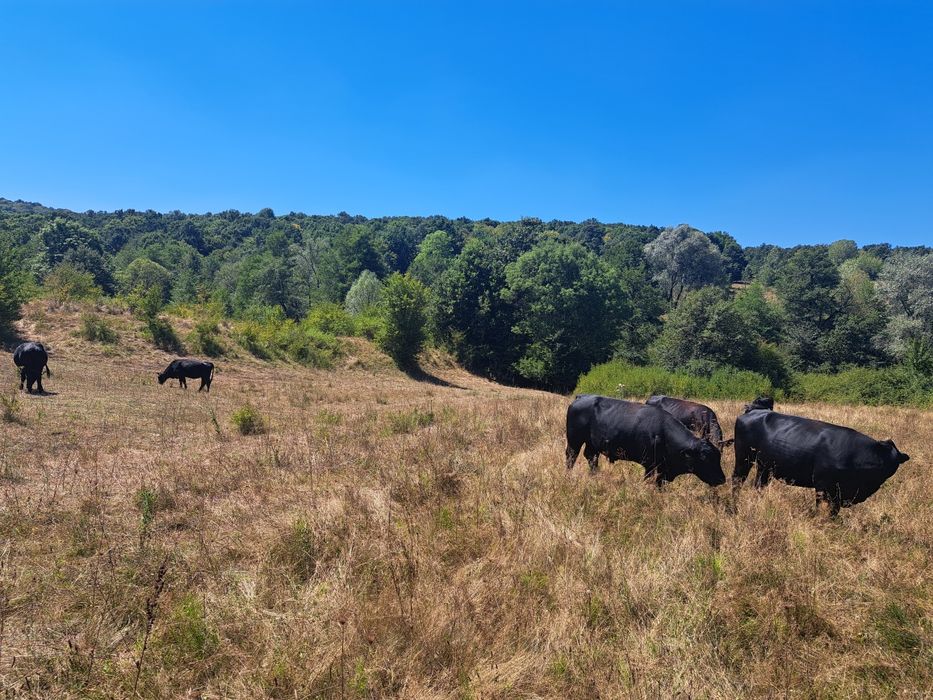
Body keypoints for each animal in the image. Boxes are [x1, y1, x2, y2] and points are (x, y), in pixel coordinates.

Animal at [566, 394, 726, 487]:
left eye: (719, 456)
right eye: (704, 458)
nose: (722, 479)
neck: (663, 433)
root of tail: (581, 397)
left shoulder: (662, 469)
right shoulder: (649, 465)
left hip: (592, 444)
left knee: (591, 457)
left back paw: (595, 475)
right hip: (574, 440)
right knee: (571, 457)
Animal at [733, 405, 909, 515]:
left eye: (894, 464)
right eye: (882, 462)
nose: (881, 474)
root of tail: (753, 411)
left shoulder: (839, 494)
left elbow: (834, 513)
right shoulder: (823, 487)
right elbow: (823, 510)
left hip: (764, 467)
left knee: (759, 485)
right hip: (743, 457)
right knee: (737, 480)